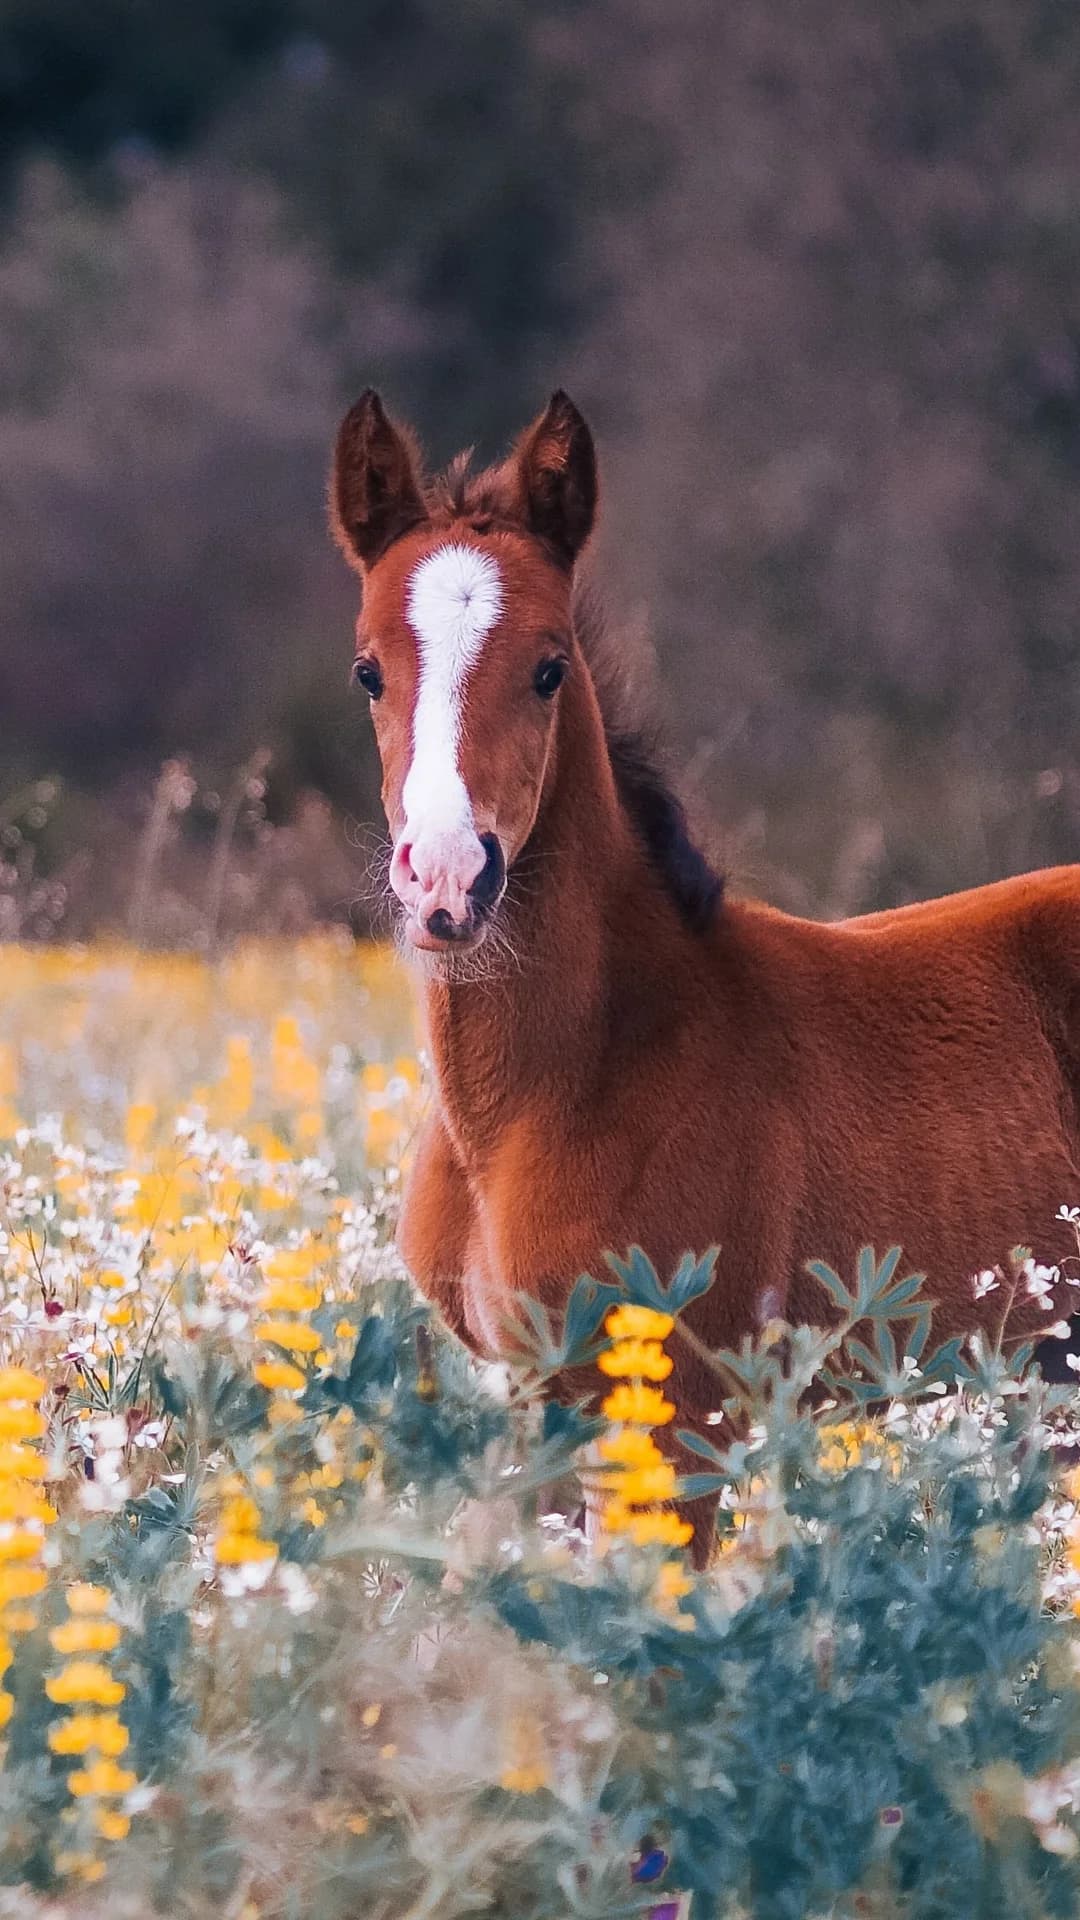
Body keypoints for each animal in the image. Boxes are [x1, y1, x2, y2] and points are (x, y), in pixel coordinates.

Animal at [330, 387, 1080, 1544]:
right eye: (369, 671)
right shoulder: (521, 1408)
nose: (449, 878)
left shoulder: (683, 1417)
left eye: (549, 667)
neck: (544, 1096)